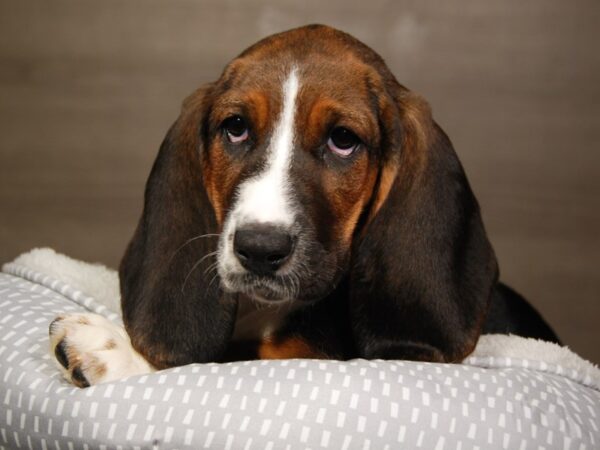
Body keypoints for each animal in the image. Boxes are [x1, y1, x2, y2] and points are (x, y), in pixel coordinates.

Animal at [48, 23, 556, 386]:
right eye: (236, 128)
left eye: (343, 140)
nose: (259, 249)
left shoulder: (311, 356)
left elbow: (228, 360)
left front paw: (113, 348)